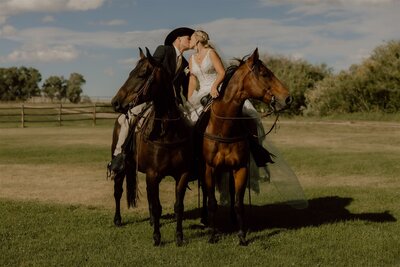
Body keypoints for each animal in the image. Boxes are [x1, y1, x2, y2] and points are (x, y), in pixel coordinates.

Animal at [111, 48, 192, 247]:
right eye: (130, 72)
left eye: (141, 74)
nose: (115, 102)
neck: (168, 131)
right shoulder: (152, 174)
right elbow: (156, 206)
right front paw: (157, 237)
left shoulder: (182, 174)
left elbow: (178, 206)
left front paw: (179, 237)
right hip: (122, 168)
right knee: (118, 191)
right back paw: (118, 219)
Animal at [203, 48, 290, 245]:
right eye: (265, 74)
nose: (288, 98)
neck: (224, 129)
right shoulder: (210, 168)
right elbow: (212, 202)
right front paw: (212, 235)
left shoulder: (240, 168)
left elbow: (238, 203)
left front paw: (242, 235)